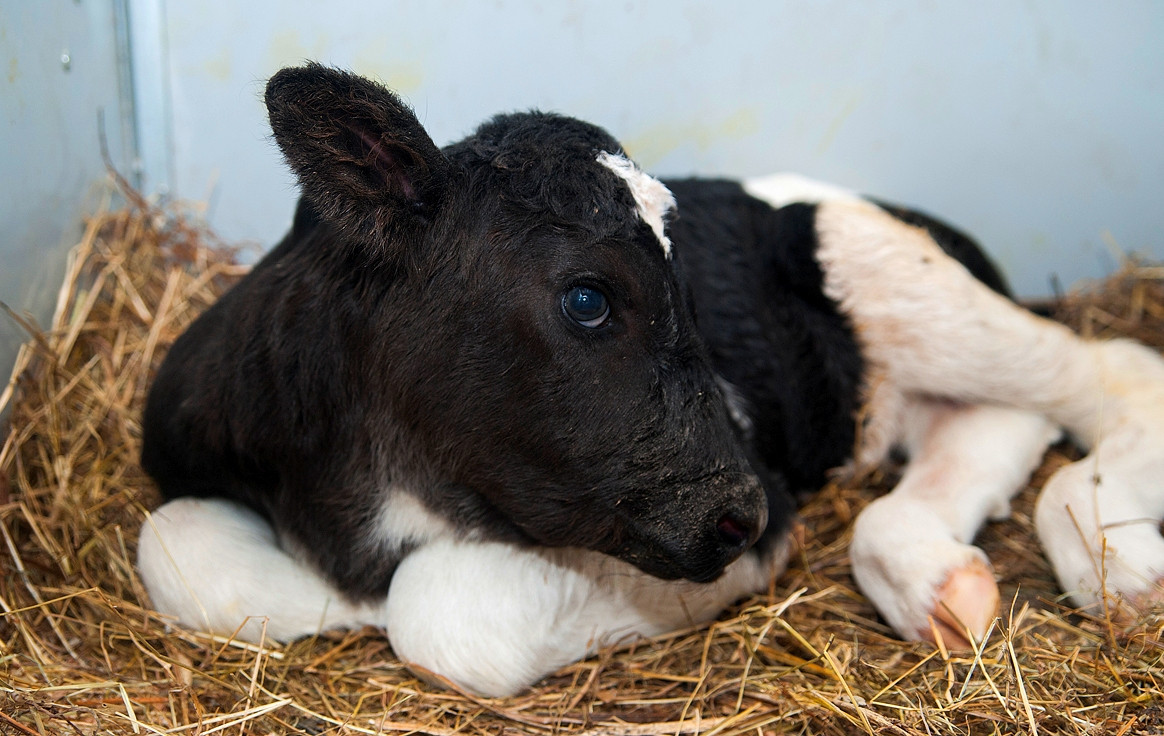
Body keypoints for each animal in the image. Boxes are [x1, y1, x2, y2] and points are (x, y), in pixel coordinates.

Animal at [138, 64, 1164, 694]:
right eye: (588, 298)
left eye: (687, 284)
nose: (740, 514)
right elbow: (173, 547)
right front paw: (330, 605)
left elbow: (439, 610)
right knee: (989, 432)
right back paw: (944, 583)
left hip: (894, 274)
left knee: (1109, 373)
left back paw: (1116, 560)